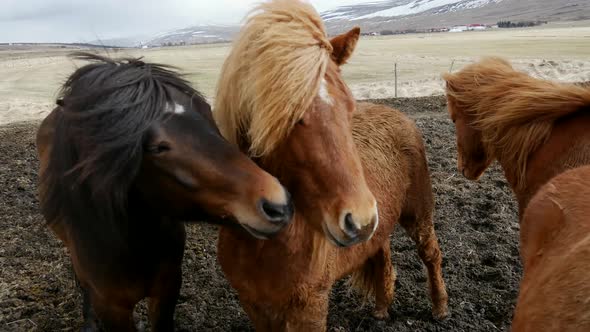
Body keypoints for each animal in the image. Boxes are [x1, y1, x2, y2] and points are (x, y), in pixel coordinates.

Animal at [213, 1, 448, 330]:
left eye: (349, 107)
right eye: (290, 115)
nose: (359, 219)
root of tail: (397, 114)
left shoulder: (310, 306)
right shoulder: (255, 307)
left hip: (418, 213)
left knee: (430, 254)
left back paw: (440, 308)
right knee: (381, 255)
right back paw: (381, 308)